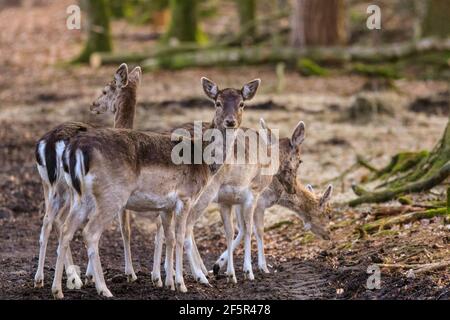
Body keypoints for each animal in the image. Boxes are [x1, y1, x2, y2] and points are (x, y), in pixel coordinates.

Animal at [33, 63, 142, 288]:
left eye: (105, 90)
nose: (93, 105)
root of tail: (49, 142)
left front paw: (91, 274)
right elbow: (125, 228)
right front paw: (130, 273)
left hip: (49, 184)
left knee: (48, 221)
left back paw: (41, 278)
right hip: (68, 187)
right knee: (61, 222)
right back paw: (72, 277)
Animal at [50, 77, 264, 298]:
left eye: (242, 103)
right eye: (217, 103)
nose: (230, 122)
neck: (203, 162)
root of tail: (75, 149)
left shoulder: (167, 206)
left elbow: (169, 237)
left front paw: (168, 282)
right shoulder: (185, 197)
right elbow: (180, 237)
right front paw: (181, 284)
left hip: (80, 196)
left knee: (66, 229)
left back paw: (58, 289)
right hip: (111, 195)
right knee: (90, 233)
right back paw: (103, 289)